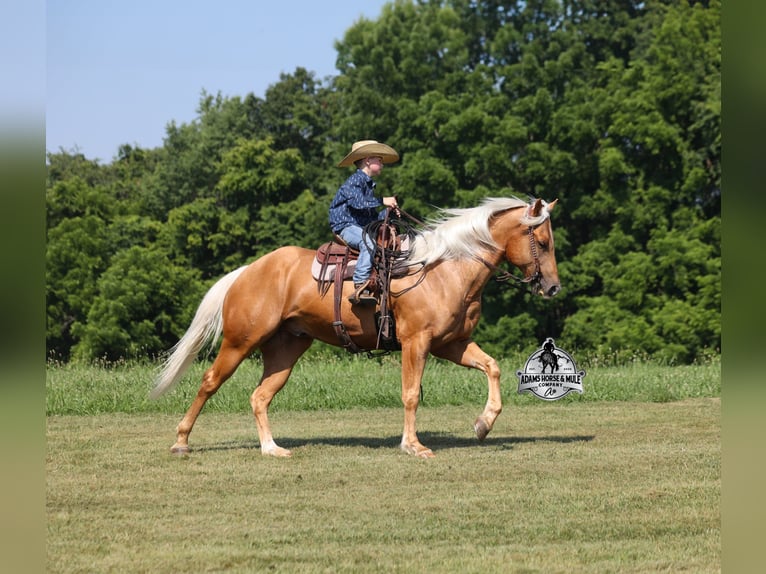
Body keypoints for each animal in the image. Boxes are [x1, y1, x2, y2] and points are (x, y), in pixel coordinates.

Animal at [150, 197, 560, 458]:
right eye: (542, 242)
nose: (553, 288)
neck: (443, 269)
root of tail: (249, 270)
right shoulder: (417, 342)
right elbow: (410, 395)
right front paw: (413, 446)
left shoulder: (452, 343)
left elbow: (492, 367)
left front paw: (483, 424)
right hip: (241, 341)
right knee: (209, 382)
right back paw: (181, 441)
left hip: (285, 349)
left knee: (260, 396)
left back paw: (272, 449)